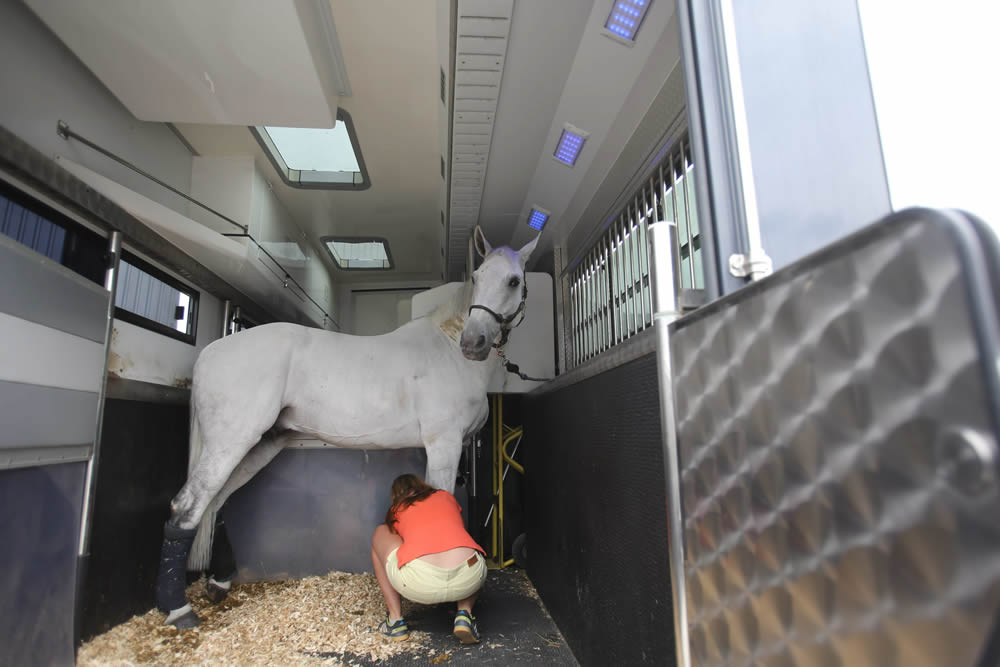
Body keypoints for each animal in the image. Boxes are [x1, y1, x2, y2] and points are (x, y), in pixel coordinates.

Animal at [154, 228, 540, 628]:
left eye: (514, 280)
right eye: (476, 277)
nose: (473, 343)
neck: (448, 352)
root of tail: (211, 351)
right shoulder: (443, 445)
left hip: (259, 445)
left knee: (215, 503)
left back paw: (218, 584)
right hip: (230, 443)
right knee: (187, 508)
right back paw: (179, 610)